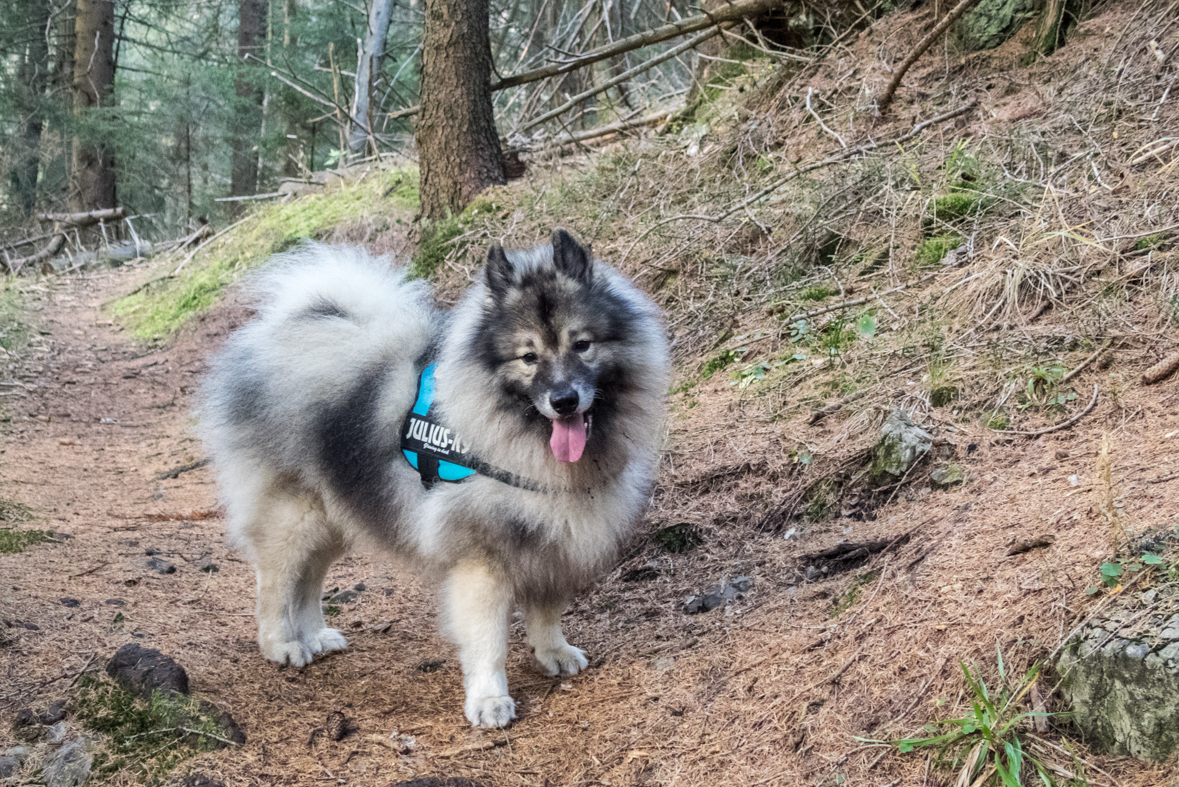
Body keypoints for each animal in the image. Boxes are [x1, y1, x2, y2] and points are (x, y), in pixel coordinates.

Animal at [198, 230, 669, 730]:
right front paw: (489, 699)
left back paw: (315, 636)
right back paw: (282, 644)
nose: (563, 401)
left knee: (308, 579)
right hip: (294, 515)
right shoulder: (482, 558)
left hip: (334, 514)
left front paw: (553, 652)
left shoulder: (552, 538)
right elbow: (488, 639)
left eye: (582, 345)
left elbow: (546, 612)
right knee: (274, 584)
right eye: (528, 357)